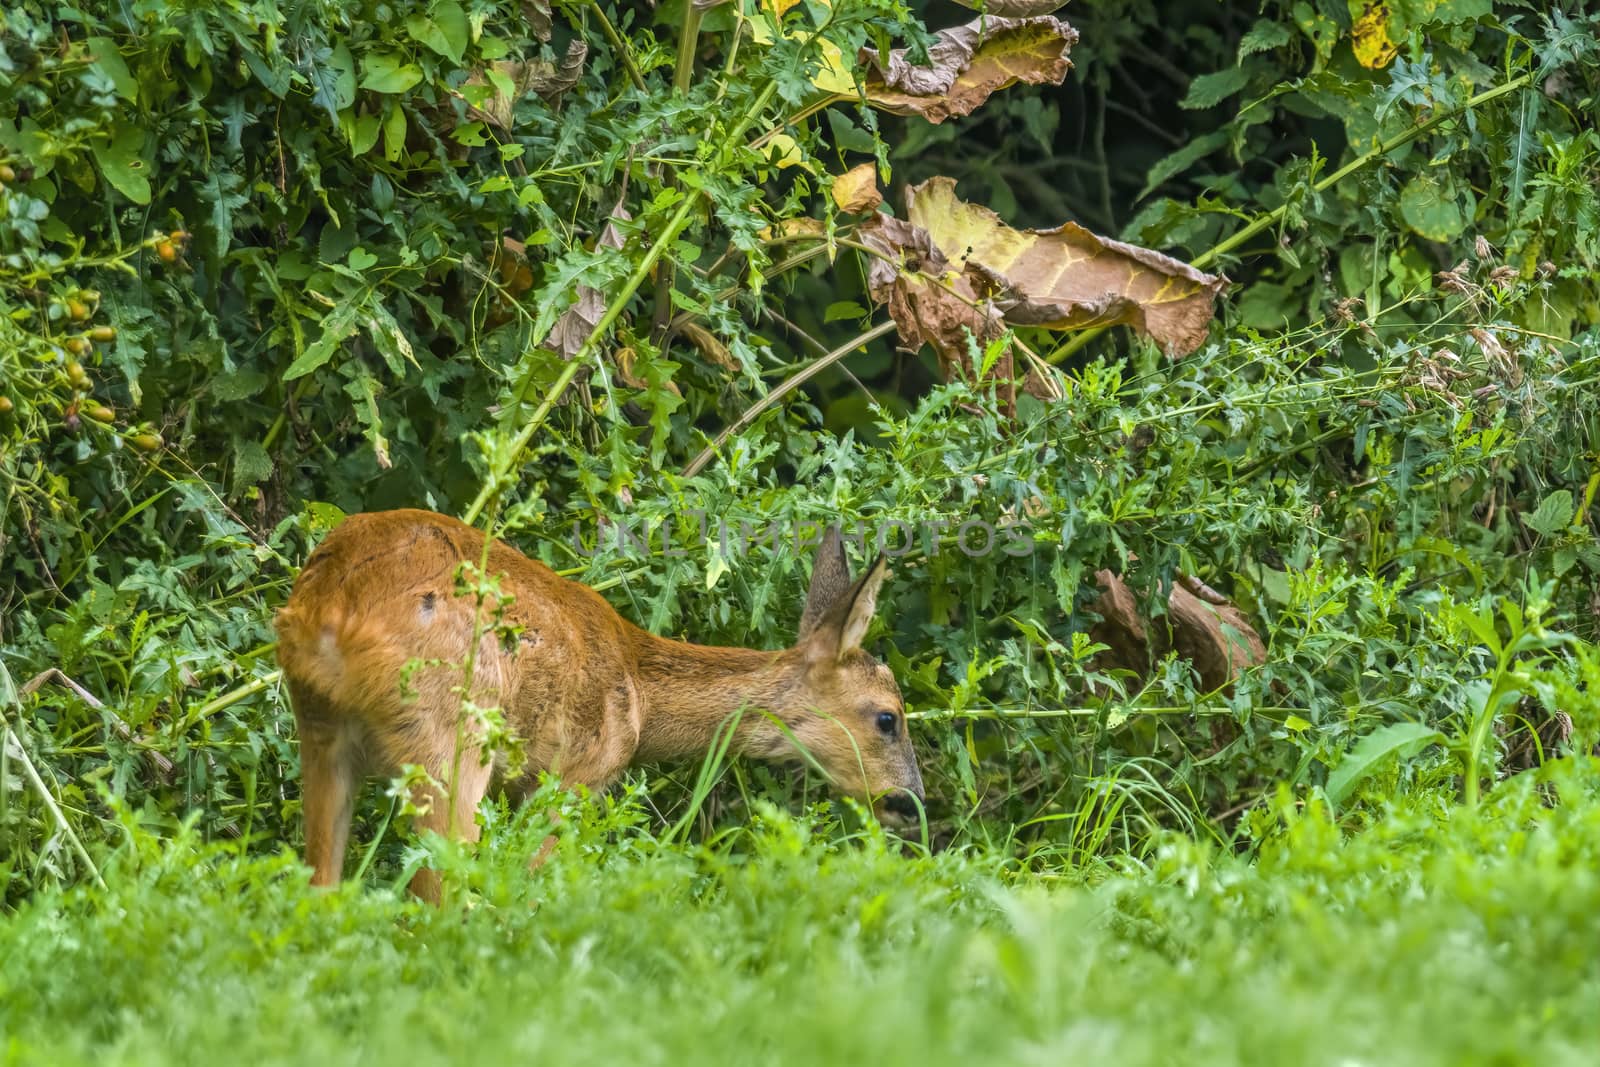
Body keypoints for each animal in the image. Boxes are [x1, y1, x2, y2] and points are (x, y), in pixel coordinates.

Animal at [276, 508, 928, 902]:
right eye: (888, 717)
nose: (912, 806)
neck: (640, 693)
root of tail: (333, 609)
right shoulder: (577, 776)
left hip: (321, 725)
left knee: (321, 883)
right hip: (450, 735)